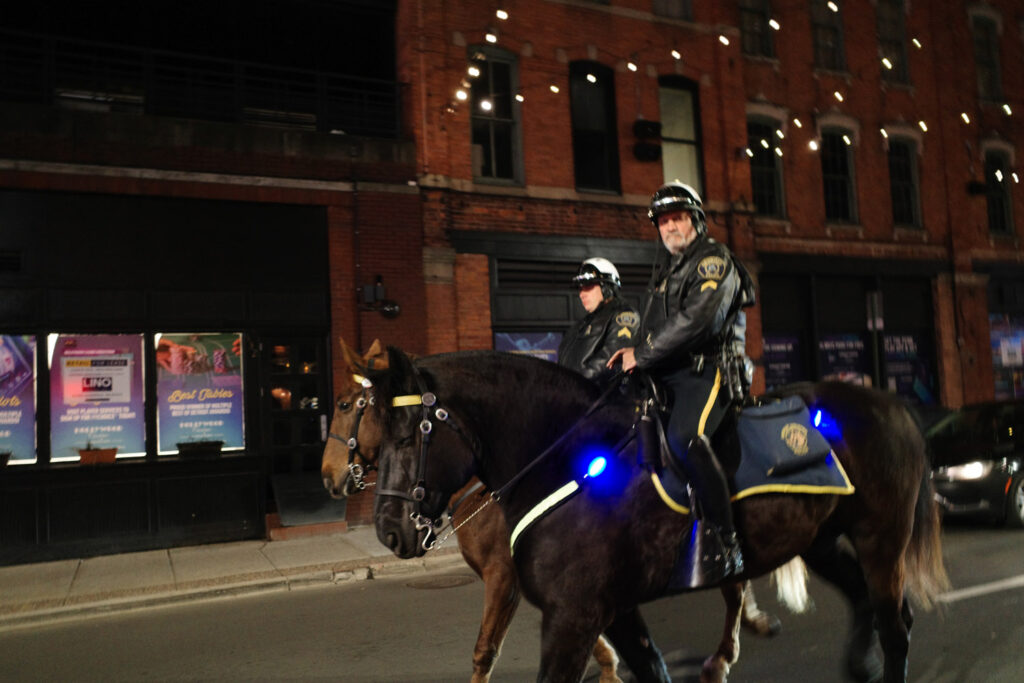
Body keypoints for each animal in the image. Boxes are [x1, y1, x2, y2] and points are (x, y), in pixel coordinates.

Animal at [323, 339, 778, 683]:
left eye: (346, 405)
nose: (328, 477)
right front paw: (611, 665)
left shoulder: (506, 579)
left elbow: (484, 652)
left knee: (734, 582)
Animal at [370, 350, 950, 683]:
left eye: (410, 434)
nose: (388, 529)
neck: (566, 459)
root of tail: (890, 403)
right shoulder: (613, 609)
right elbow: (651, 669)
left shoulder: (571, 617)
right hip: (821, 540)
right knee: (865, 603)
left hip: (880, 539)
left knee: (895, 625)